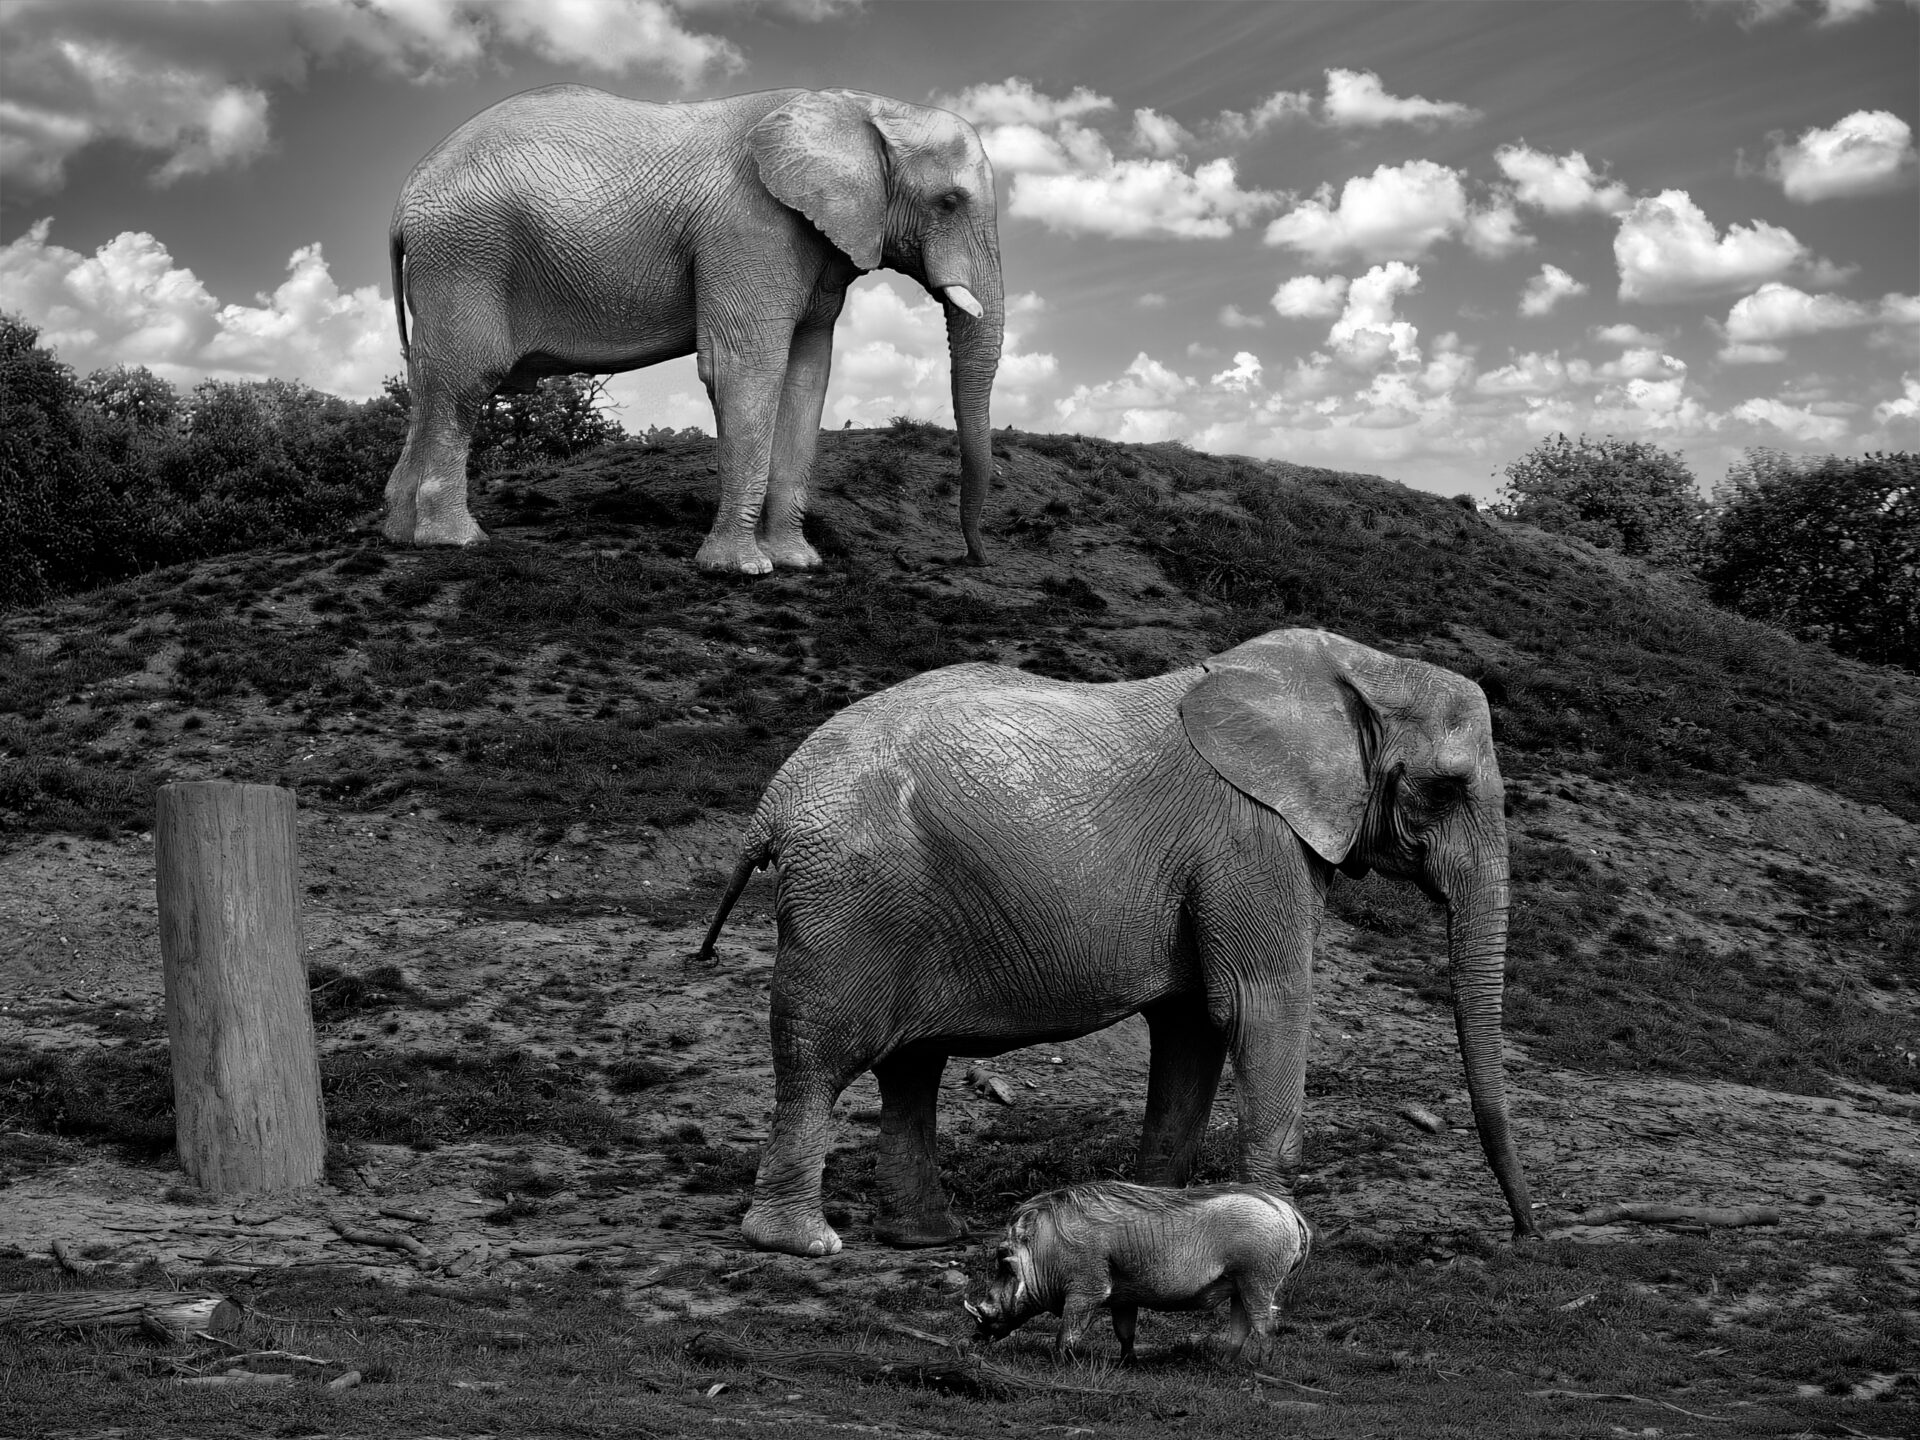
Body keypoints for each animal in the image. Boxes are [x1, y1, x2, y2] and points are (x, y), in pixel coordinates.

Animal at [381, 85, 1004, 572]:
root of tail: (403, 199)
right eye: (949, 202)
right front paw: (743, 571)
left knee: (429, 385)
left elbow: (806, 380)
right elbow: (743, 371)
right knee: (464, 382)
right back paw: (457, 542)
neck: (864, 105)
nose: (967, 557)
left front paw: (799, 564)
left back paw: (398, 536)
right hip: (465, 256)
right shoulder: (751, 230)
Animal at [697, 627, 1541, 1258]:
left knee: (911, 1067)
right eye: (1447, 788)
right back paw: (801, 1243)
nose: (1524, 1233)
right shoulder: (1251, 837)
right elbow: (1260, 1007)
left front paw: (1162, 1223)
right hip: (847, 900)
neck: (1355, 669)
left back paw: (926, 1238)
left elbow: (1194, 1026)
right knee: (823, 1058)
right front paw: (1288, 1235)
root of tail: (774, 800)